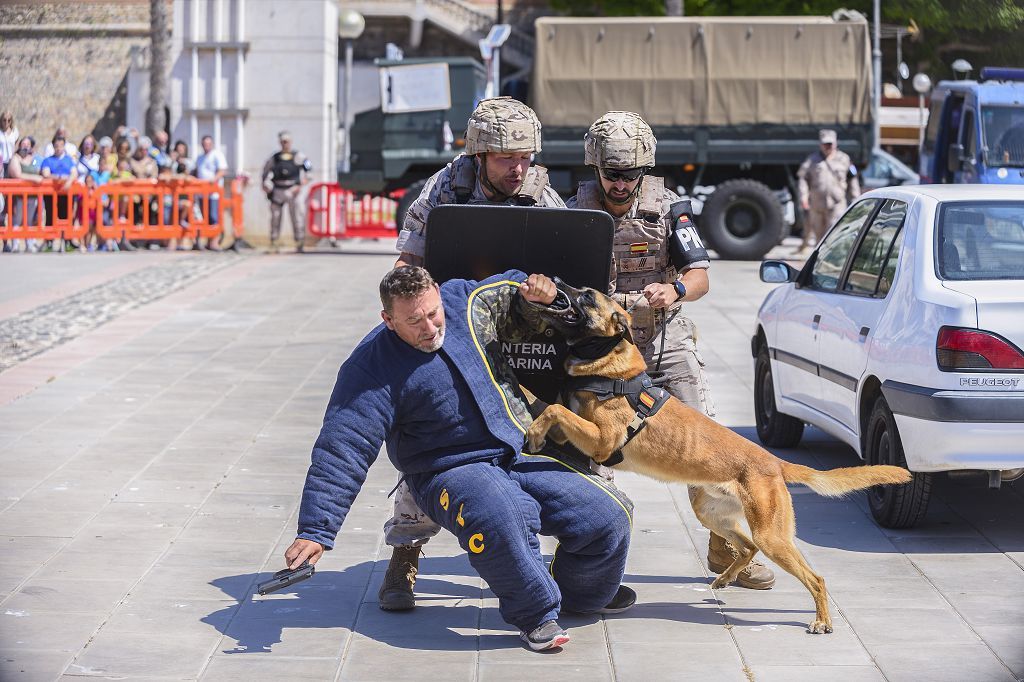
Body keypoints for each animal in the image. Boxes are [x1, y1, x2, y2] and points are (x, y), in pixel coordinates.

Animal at [528, 276, 913, 630]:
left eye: (587, 296)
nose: (556, 281)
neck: (607, 362)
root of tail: (774, 462)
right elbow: (552, 407)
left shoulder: (603, 442)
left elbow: (555, 410)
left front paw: (532, 435)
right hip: (713, 514)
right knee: (747, 547)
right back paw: (726, 577)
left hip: (772, 536)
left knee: (813, 576)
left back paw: (820, 620)